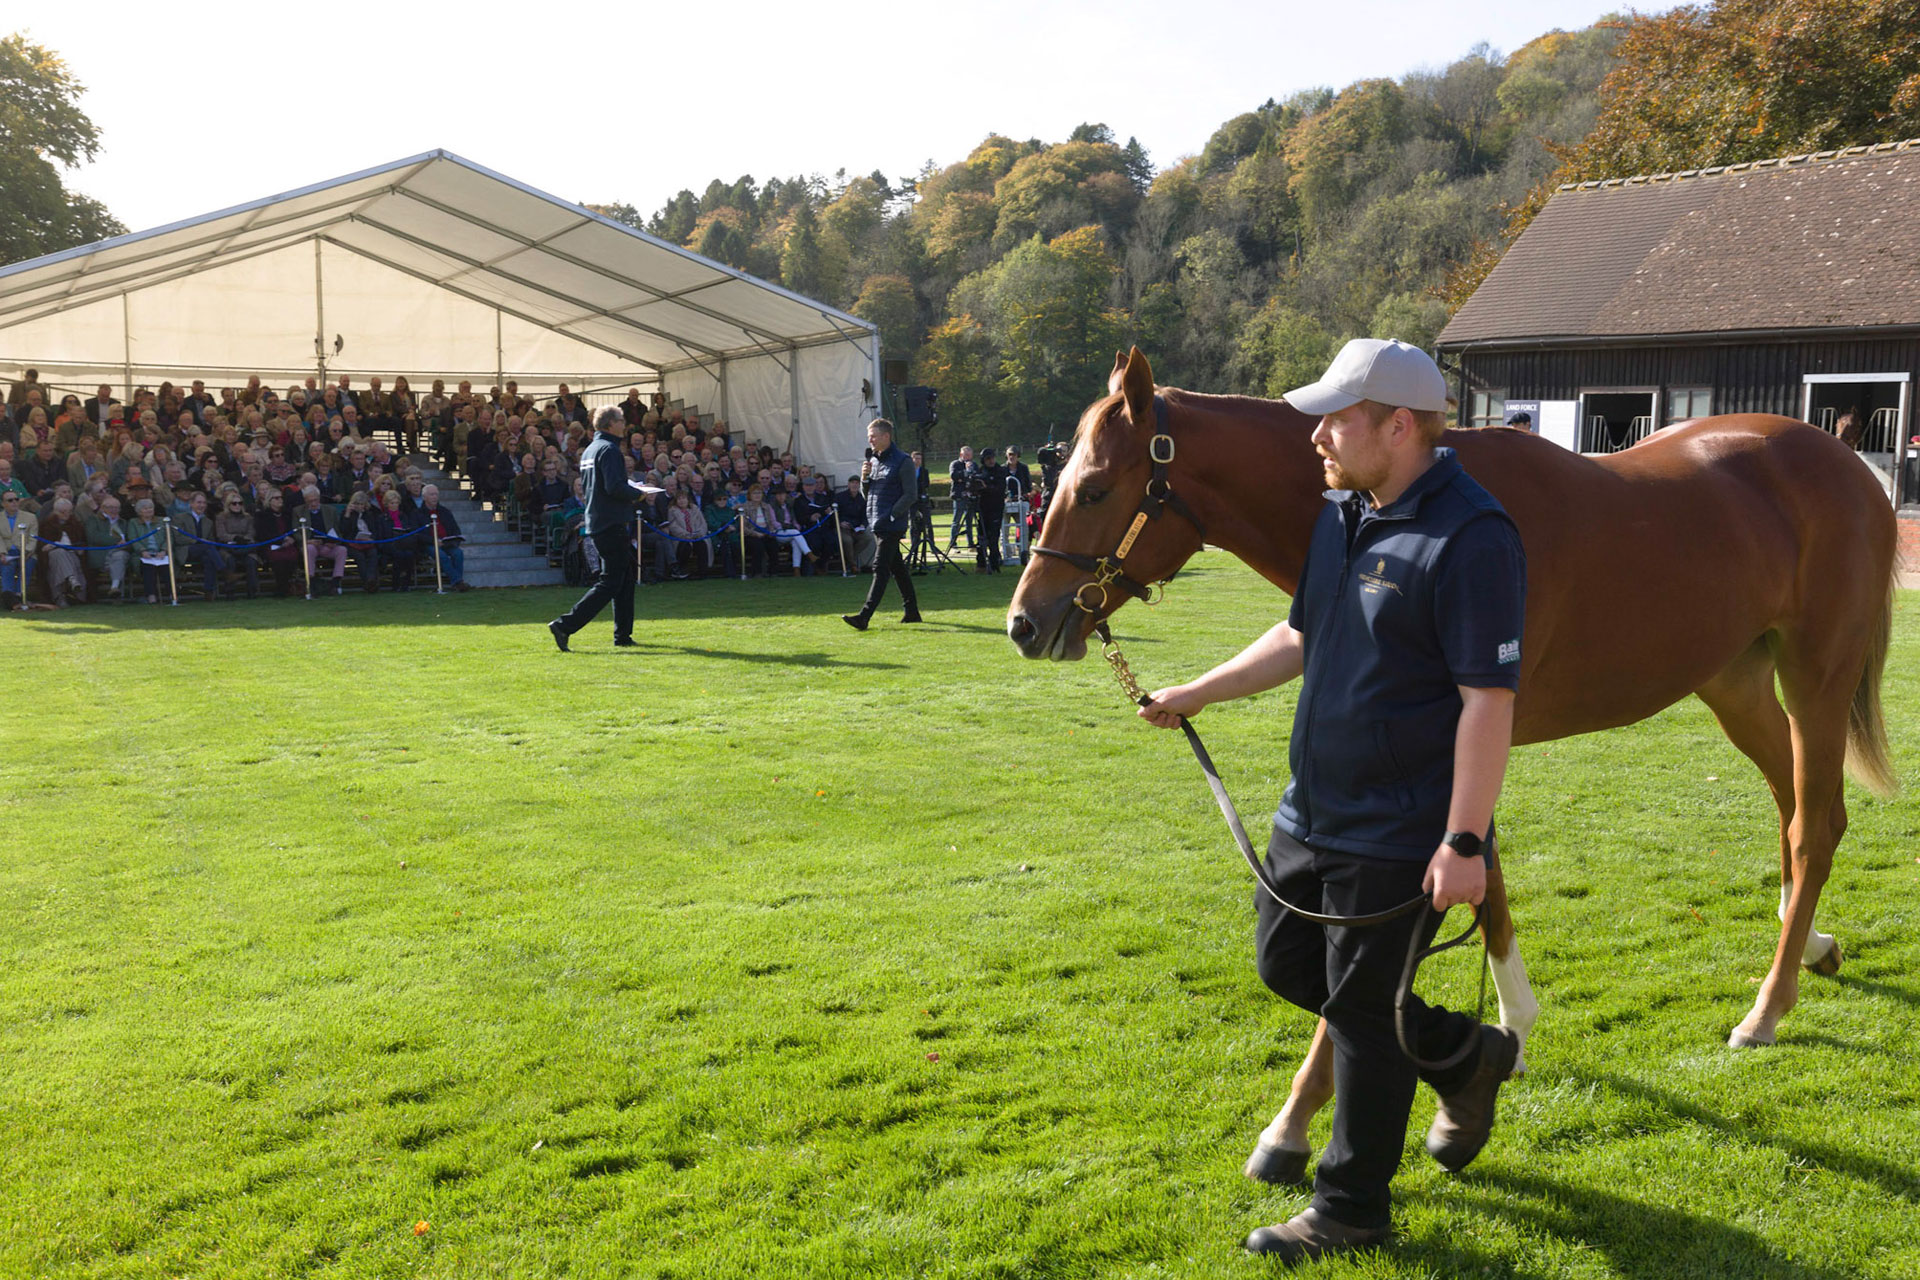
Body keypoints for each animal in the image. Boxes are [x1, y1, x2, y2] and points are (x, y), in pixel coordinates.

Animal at [1013, 345, 1896, 1189]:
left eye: (1094, 489)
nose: (1025, 621)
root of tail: (1850, 465)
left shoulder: (1467, 744)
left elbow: (1397, 934)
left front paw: (1298, 1121)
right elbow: (1480, 888)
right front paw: (1508, 1028)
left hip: (1816, 676)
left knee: (1814, 824)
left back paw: (1767, 1008)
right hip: (1733, 679)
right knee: (1797, 807)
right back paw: (1810, 944)